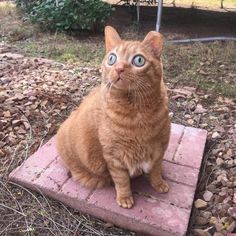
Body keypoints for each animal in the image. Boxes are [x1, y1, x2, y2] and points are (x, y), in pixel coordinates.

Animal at [56, 26, 171, 208]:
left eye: (139, 60)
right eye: (112, 59)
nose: (119, 68)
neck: (136, 114)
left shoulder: (159, 148)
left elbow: (156, 171)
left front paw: (159, 184)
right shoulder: (115, 158)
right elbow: (122, 181)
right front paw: (125, 198)